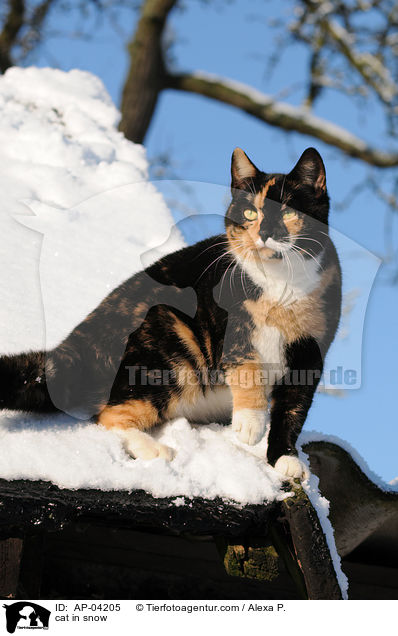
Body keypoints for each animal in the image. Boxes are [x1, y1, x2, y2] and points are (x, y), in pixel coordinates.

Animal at [0, 148, 342, 476]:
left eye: (289, 212)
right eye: (250, 212)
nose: (265, 233)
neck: (282, 284)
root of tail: (77, 343)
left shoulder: (310, 352)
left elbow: (294, 409)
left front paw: (284, 458)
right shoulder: (225, 321)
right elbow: (247, 364)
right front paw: (250, 423)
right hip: (166, 340)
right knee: (108, 415)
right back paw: (156, 450)